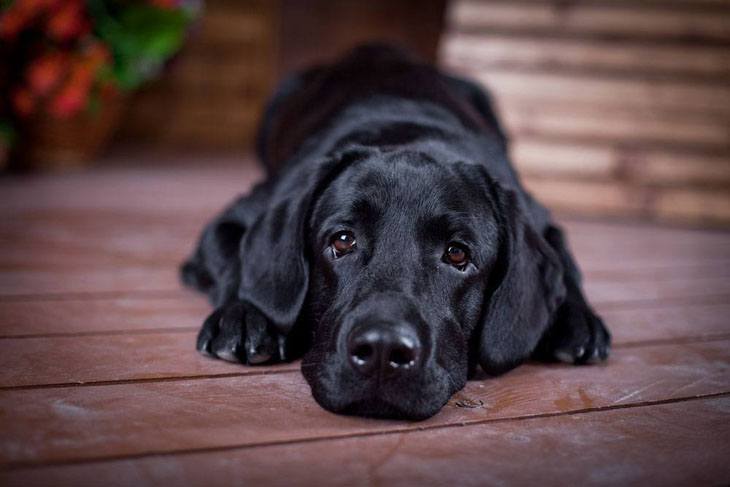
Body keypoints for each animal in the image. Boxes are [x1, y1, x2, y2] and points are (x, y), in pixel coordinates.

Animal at [181, 43, 608, 422]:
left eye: (457, 253)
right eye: (342, 240)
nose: (383, 351)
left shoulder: (539, 216)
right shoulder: (238, 214)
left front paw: (579, 320)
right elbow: (237, 260)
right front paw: (243, 314)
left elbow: (565, 263)